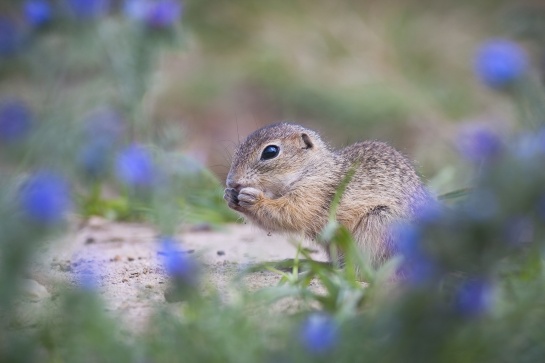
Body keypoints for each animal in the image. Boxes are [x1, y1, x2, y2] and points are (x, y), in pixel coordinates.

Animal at [223, 123, 428, 266]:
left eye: (270, 151)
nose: (232, 182)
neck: (314, 168)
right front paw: (229, 196)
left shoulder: (314, 192)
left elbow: (290, 213)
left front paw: (253, 199)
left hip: (380, 221)